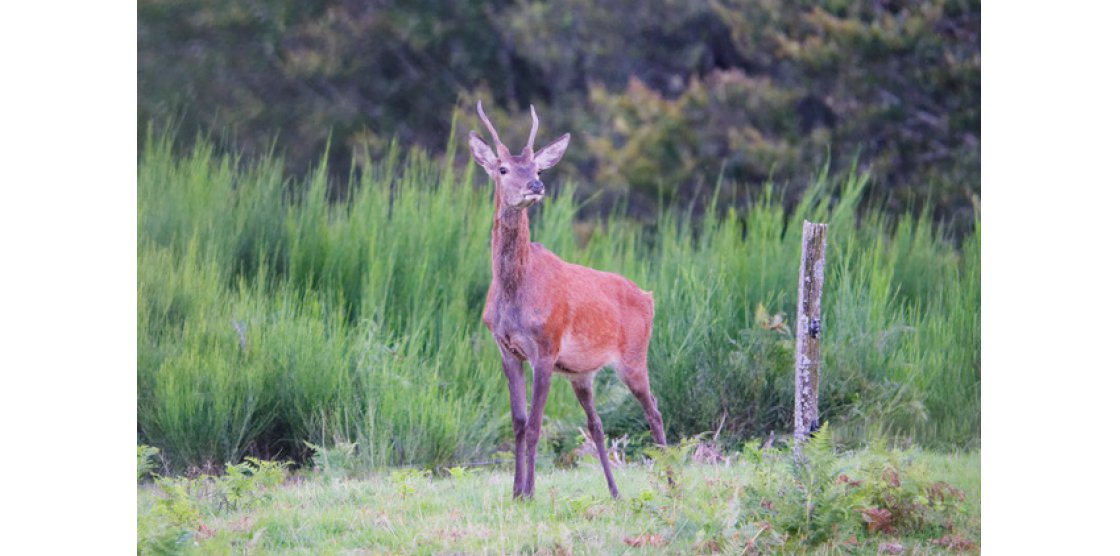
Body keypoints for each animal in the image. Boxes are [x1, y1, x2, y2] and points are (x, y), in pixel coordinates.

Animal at [465, 102, 663, 502]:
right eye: (503, 168)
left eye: (538, 168)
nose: (535, 186)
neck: (515, 293)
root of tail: (649, 298)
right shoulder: (506, 349)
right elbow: (518, 422)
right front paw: (515, 492)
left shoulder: (546, 346)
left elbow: (536, 424)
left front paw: (529, 493)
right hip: (582, 374)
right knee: (597, 423)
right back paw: (615, 491)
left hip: (634, 356)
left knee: (655, 412)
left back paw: (671, 479)